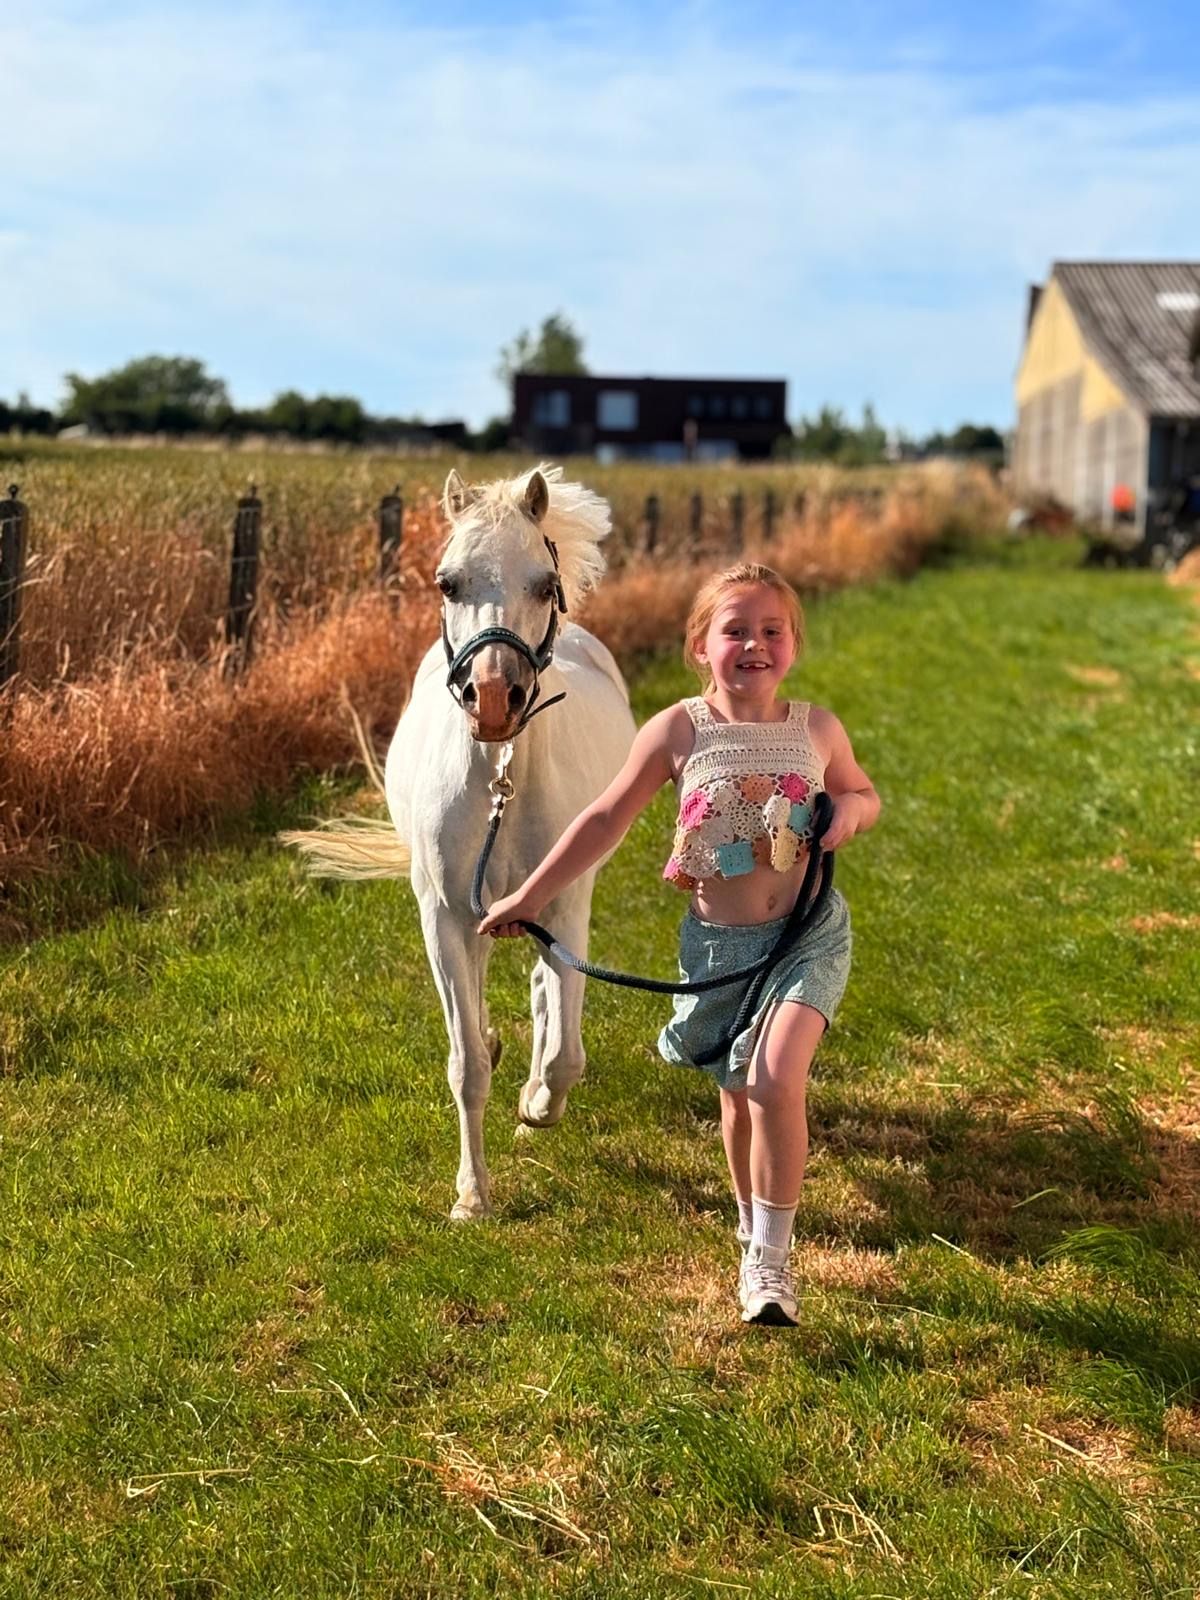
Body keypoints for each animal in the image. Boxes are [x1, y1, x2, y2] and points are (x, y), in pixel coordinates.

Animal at [283, 465, 636, 1218]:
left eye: (544, 584)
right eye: (447, 583)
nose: (495, 699)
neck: (501, 781)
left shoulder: (565, 910)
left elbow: (566, 1053)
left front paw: (536, 1107)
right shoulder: (445, 918)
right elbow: (466, 1061)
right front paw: (473, 1197)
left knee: (543, 993)